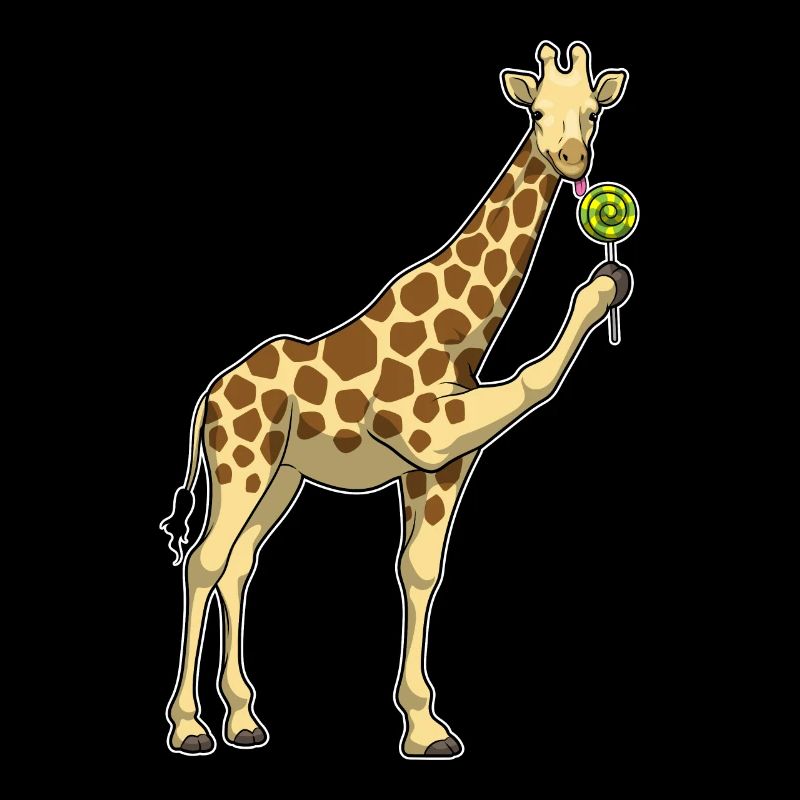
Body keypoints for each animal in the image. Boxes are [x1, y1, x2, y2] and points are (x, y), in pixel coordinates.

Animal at [162, 41, 631, 758]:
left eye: (594, 112)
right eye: (536, 111)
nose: (575, 160)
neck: (464, 334)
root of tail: (208, 398)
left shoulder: (439, 466)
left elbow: (419, 572)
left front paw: (425, 727)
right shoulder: (430, 433)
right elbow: (535, 377)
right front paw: (603, 287)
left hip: (281, 476)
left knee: (239, 564)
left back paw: (243, 721)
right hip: (240, 464)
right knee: (203, 562)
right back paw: (188, 728)